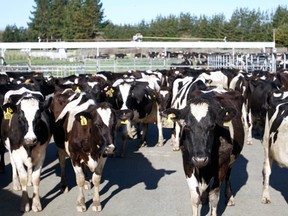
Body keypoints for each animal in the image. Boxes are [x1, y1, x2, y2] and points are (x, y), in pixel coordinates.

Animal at [161, 88, 244, 216]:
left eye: (212, 125)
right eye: (186, 126)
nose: (200, 159)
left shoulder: (222, 164)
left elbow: (214, 197)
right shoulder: (187, 162)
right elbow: (195, 197)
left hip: (231, 159)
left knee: (228, 175)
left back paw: (229, 197)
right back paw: (204, 197)